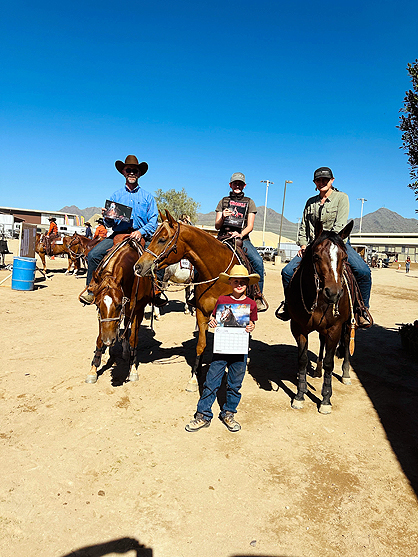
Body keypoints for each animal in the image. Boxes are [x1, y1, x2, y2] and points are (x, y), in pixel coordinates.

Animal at [82, 237, 153, 384]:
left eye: (119, 305)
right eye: (98, 304)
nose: (109, 340)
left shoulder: (138, 311)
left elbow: (133, 339)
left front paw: (133, 369)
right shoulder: (101, 316)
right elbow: (99, 338)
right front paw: (93, 370)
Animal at [132, 210, 240, 390]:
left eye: (162, 239)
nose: (138, 266)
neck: (218, 273)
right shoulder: (202, 311)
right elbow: (201, 344)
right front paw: (194, 378)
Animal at [288, 219, 356, 410]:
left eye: (344, 257)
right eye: (316, 256)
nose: (334, 293)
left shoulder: (335, 328)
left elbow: (329, 362)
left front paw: (325, 399)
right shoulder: (298, 328)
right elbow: (302, 359)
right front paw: (299, 395)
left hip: (347, 324)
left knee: (346, 341)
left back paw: (346, 374)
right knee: (321, 341)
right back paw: (317, 370)